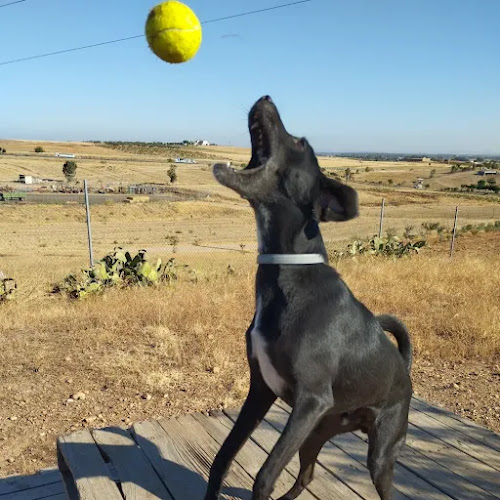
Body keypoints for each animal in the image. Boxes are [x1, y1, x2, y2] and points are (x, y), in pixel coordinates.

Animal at [203, 95, 410, 498]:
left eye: (299, 143)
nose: (266, 97)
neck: (288, 273)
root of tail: (405, 368)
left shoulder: (310, 401)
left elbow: (264, 475)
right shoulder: (261, 390)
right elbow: (222, 457)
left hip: (377, 451)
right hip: (317, 432)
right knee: (307, 474)